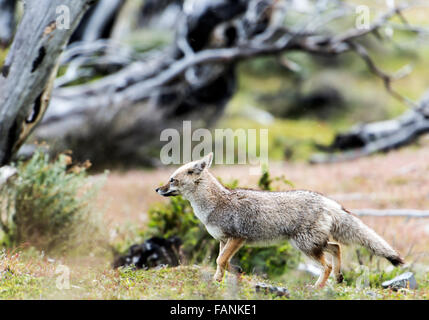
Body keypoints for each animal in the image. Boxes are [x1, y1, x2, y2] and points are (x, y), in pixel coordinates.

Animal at [155, 152, 402, 288]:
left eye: (172, 180)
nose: (157, 189)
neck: (214, 203)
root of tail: (326, 200)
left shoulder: (237, 238)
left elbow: (220, 260)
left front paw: (217, 281)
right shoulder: (223, 240)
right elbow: (221, 262)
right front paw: (220, 279)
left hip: (305, 246)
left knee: (328, 263)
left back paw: (317, 287)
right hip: (310, 243)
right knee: (336, 247)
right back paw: (338, 278)